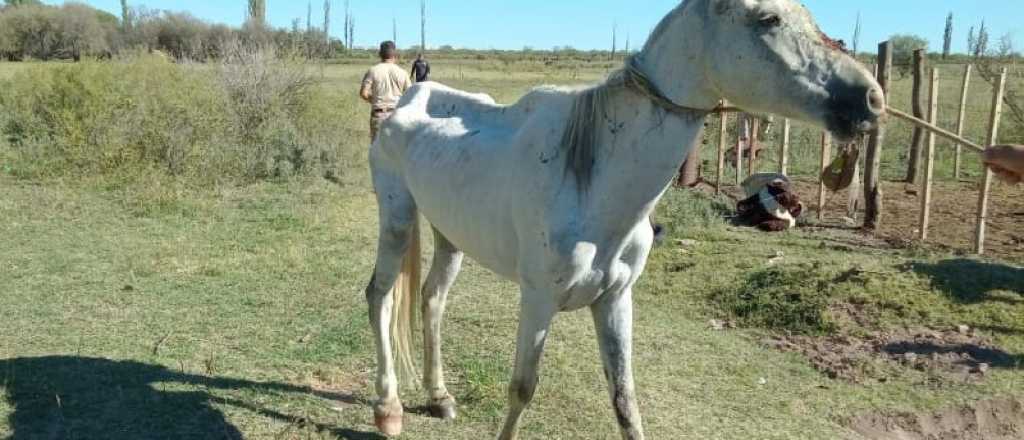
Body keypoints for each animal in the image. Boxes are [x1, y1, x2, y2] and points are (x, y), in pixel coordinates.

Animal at [364, 1, 884, 437]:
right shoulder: (538, 299)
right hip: (397, 218)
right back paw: (388, 409)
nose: (871, 99)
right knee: (380, 296)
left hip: (449, 233)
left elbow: (625, 399)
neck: (593, 182)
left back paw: (439, 397)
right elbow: (522, 389)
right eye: (767, 19)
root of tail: (409, 97)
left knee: (432, 300)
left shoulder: (615, 299)